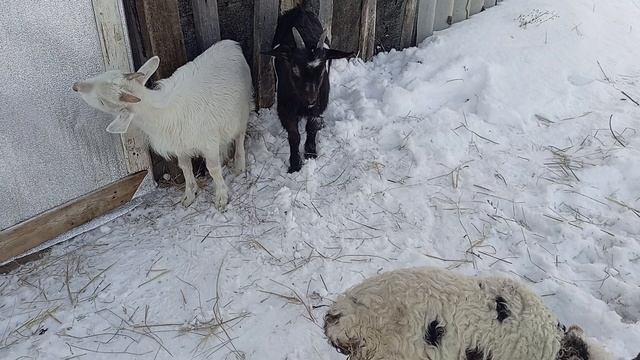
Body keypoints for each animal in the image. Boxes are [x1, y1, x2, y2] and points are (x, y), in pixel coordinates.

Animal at [72, 39, 252, 208]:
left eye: (102, 101)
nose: (75, 86)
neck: (161, 114)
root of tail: (231, 44)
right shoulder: (180, 147)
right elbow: (185, 168)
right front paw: (189, 195)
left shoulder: (208, 142)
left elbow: (213, 169)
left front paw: (221, 197)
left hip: (242, 109)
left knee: (240, 136)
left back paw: (239, 165)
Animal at [262, 4, 352, 173]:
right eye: (295, 69)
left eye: (322, 70)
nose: (310, 99)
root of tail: (300, 10)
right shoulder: (286, 107)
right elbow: (294, 135)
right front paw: (295, 164)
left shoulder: (319, 103)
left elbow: (312, 126)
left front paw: (310, 153)